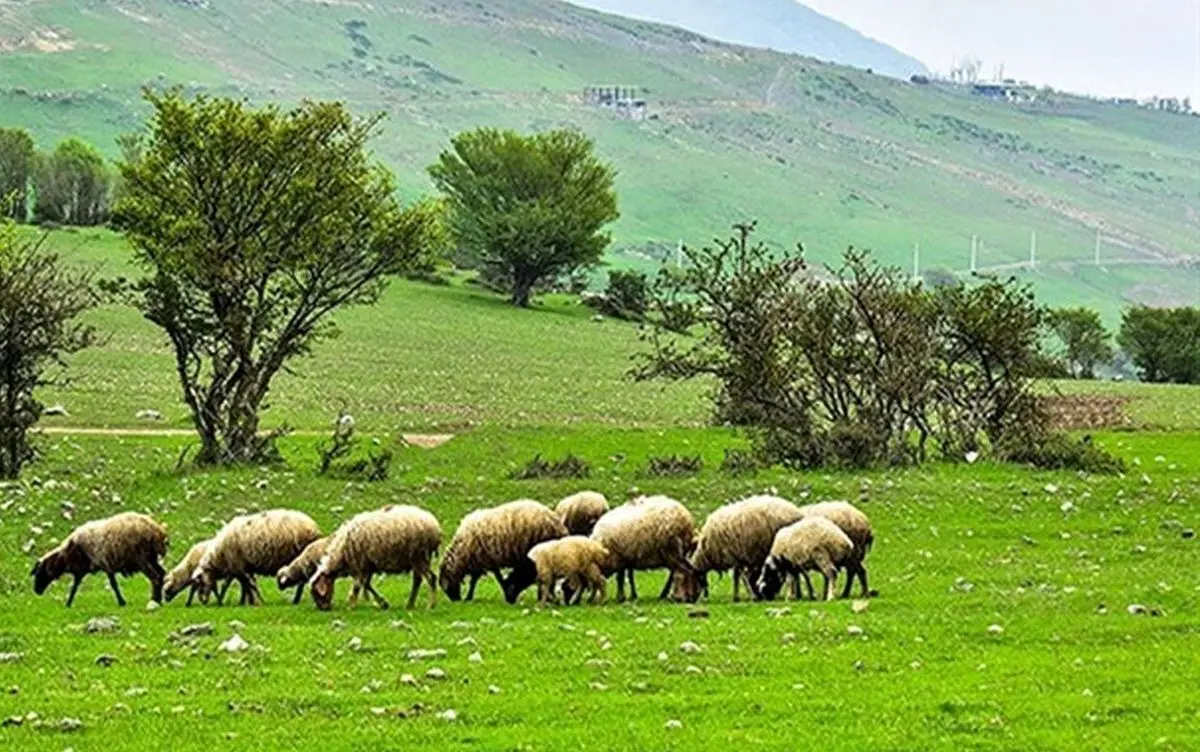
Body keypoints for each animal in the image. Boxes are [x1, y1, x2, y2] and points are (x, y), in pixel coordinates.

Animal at [30, 508, 168, 609]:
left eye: (38, 573)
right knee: (162, 574)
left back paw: (154, 600)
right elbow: (77, 587)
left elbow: (109, 585)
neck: (65, 556)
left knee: (155, 577)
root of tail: (156, 530)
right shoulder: (100, 567)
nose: (36, 591)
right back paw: (160, 600)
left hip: (141, 558)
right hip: (151, 558)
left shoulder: (96, 566)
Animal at [307, 506, 444, 611]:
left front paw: (351, 605)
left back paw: (431, 605)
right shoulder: (368, 566)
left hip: (420, 557)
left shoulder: (360, 565)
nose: (324, 609)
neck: (340, 554)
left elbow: (357, 586)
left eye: (317, 594)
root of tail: (434, 525)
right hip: (418, 559)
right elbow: (367, 585)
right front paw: (383, 603)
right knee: (418, 580)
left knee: (431, 579)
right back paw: (410, 604)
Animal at [676, 494, 806, 606]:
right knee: (796, 572)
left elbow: (740, 577)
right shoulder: (737, 557)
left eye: (685, 580)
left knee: (795, 573)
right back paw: (798, 594)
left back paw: (796, 594)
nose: (685, 600)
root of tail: (798, 512)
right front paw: (738, 596)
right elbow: (738, 577)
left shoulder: (734, 555)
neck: (707, 552)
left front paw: (748, 596)